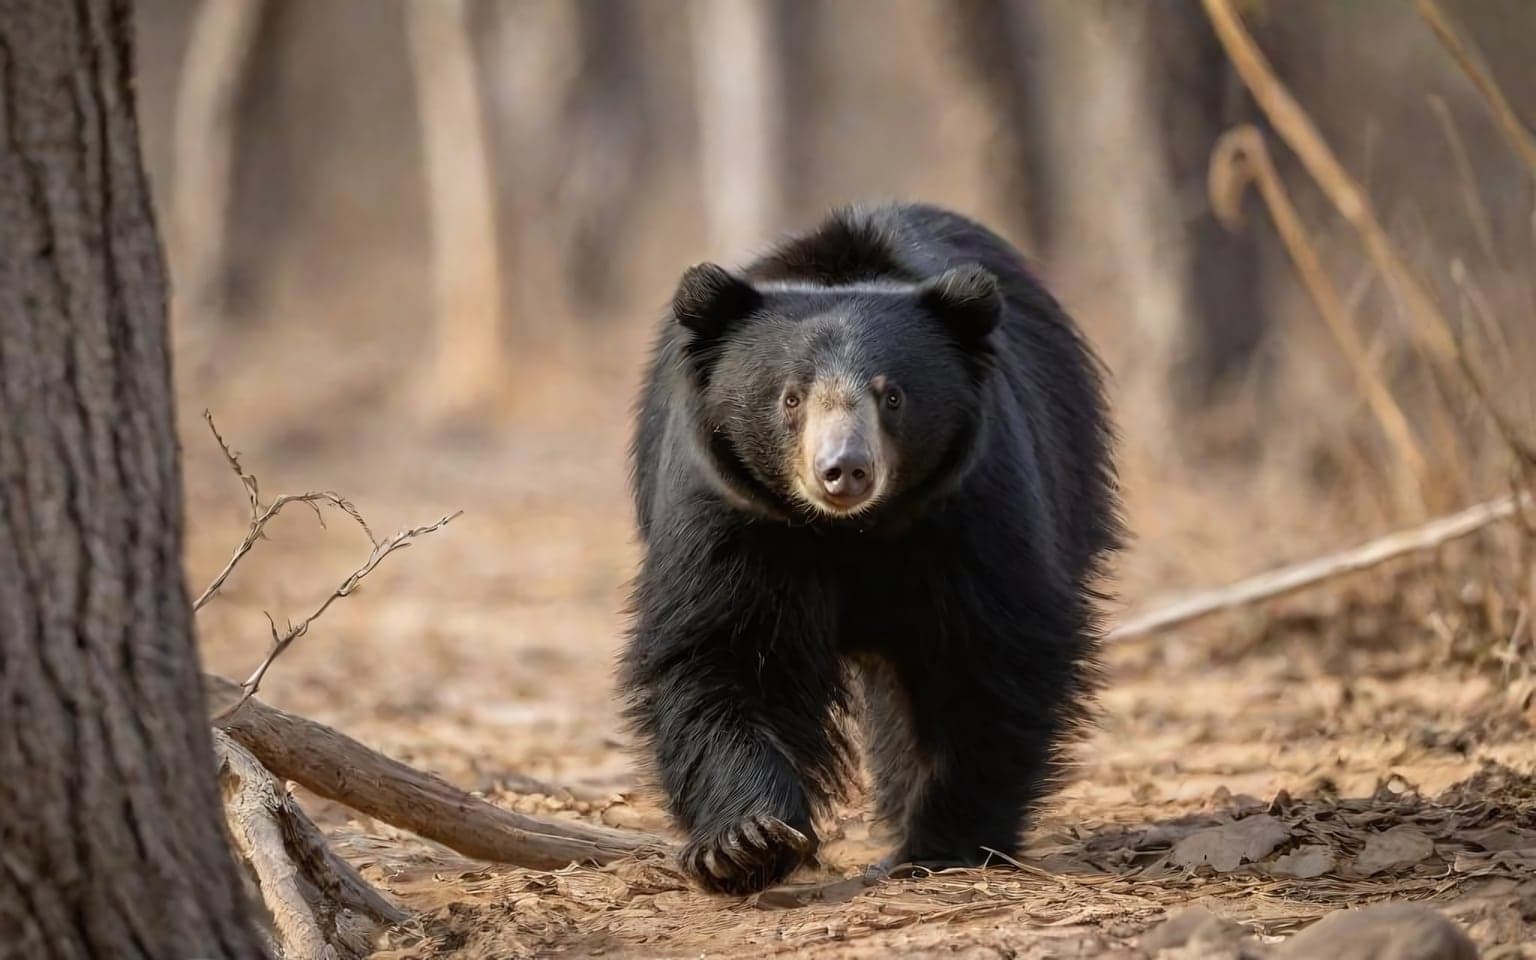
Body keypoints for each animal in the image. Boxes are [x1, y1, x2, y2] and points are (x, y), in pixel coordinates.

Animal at [619, 202, 1122, 895]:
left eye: (893, 396)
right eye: (791, 396)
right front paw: (745, 843)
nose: (845, 471)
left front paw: (946, 842)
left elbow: (990, 651)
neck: (850, 530)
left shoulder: (974, 504)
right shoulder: (732, 511)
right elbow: (721, 650)